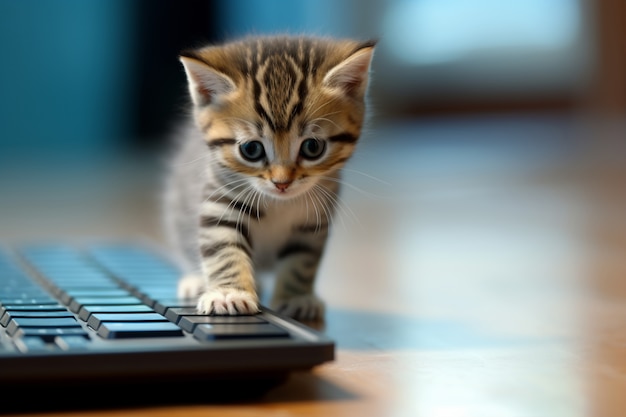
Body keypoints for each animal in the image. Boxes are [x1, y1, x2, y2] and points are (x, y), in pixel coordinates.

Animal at [162, 35, 376, 322]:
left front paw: (296, 297)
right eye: (251, 149)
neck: (279, 203)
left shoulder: (314, 220)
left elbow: (302, 261)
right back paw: (196, 280)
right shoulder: (220, 201)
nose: (282, 183)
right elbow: (222, 247)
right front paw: (229, 293)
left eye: (313, 147)